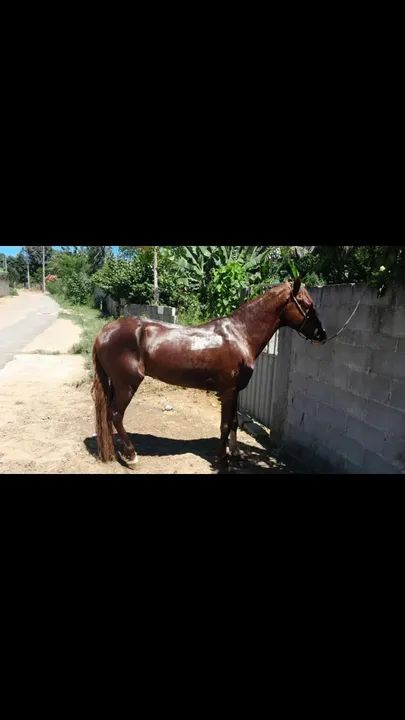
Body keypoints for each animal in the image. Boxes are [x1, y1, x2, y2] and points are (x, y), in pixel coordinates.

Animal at [91, 277, 326, 470]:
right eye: (307, 305)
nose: (322, 335)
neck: (240, 334)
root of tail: (104, 332)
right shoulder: (228, 390)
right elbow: (224, 425)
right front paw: (223, 460)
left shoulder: (236, 390)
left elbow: (234, 422)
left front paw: (237, 454)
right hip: (127, 385)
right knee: (116, 415)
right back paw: (132, 456)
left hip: (116, 384)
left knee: (108, 415)